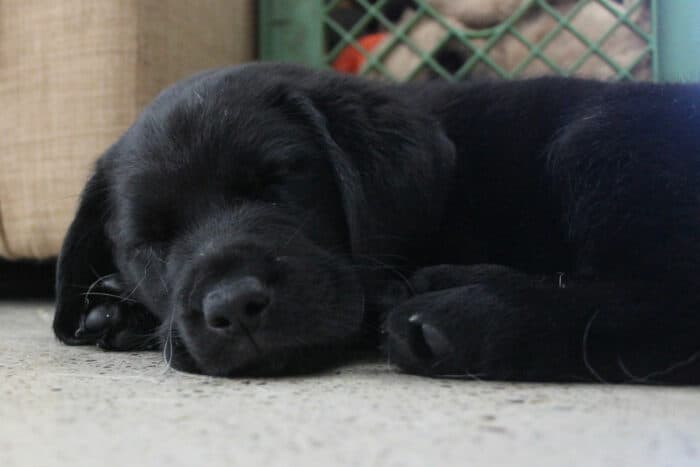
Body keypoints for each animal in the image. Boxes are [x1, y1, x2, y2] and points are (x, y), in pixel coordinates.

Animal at [53, 63, 700, 384]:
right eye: (150, 241)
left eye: (278, 182)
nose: (233, 306)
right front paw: (114, 306)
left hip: (599, 138)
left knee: (667, 304)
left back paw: (456, 316)